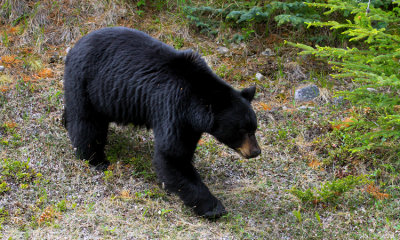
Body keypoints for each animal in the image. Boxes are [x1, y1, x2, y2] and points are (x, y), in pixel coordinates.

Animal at [63, 26, 260, 218]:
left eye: (254, 128)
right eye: (244, 130)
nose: (256, 151)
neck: (195, 101)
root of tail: (75, 46)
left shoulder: (190, 124)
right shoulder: (174, 107)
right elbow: (172, 155)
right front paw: (213, 207)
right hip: (87, 82)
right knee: (87, 122)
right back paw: (95, 159)